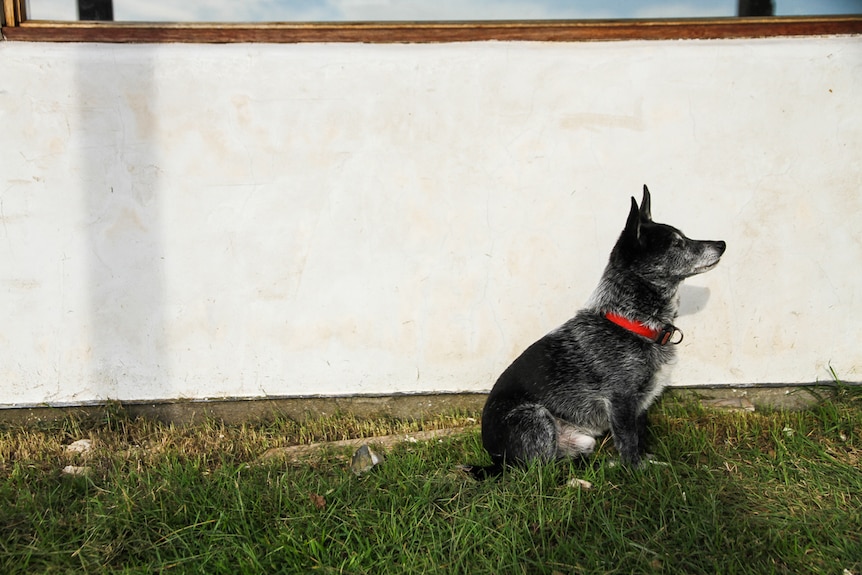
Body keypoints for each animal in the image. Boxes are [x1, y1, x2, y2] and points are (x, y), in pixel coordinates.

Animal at [472, 188, 728, 476]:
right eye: (676, 243)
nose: (721, 244)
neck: (631, 322)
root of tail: (495, 460)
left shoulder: (638, 406)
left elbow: (639, 437)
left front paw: (647, 462)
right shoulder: (621, 400)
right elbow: (628, 442)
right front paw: (636, 472)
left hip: (583, 441)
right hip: (535, 417)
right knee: (541, 471)